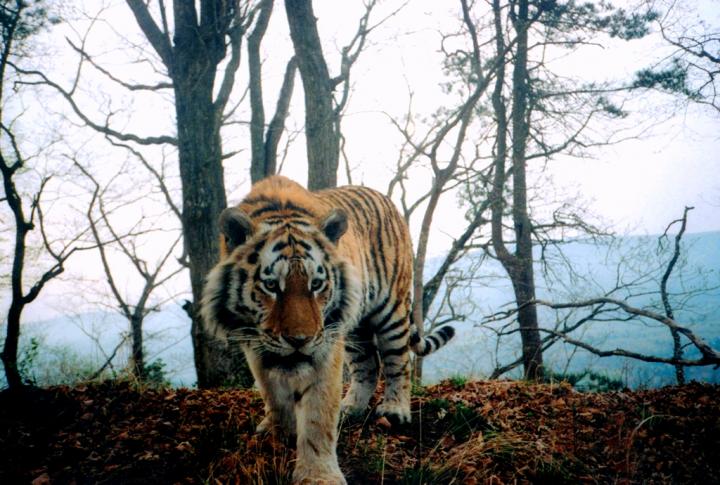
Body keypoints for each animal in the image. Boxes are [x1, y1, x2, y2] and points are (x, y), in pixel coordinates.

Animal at [201, 175, 454, 484]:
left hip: (390, 310)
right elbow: (272, 392)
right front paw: (277, 433)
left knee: (398, 363)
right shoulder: (256, 344)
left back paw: (395, 410)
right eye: (271, 285)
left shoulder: (325, 347)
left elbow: (318, 415)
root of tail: (384, 198)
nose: (299, 340)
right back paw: (352, 407)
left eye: (316, 284)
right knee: (368, 365)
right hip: (355, 326)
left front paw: (318, 476)